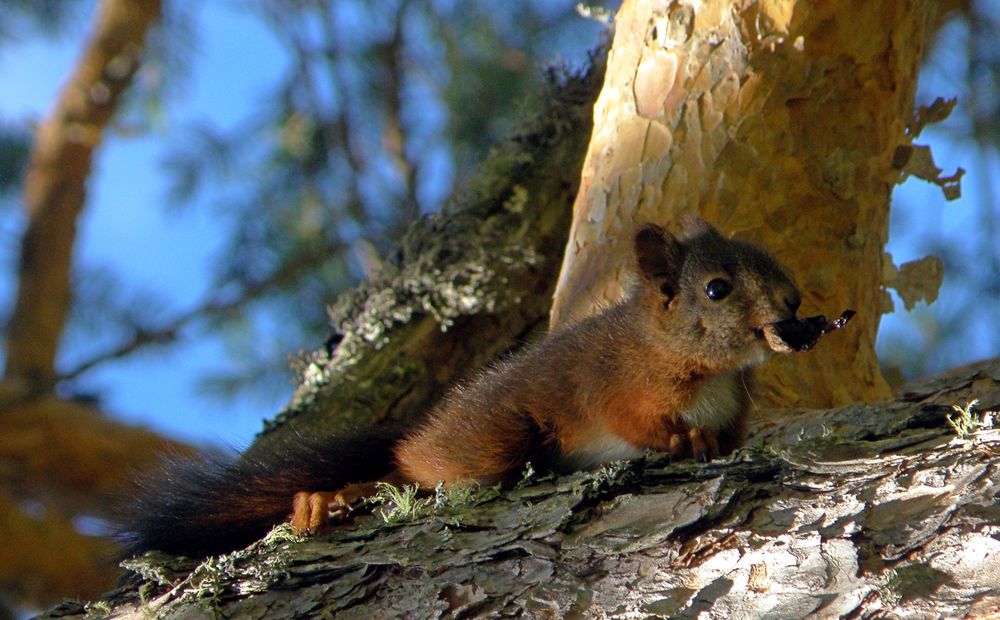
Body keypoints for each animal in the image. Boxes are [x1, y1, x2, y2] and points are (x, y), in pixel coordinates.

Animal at [119, 217, 818, 558]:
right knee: (416, 472)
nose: (794, 303)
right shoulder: (615, 386)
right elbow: (640, 422)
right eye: (717, 289)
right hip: (498, 439)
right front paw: (688, 440)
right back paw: (335, 495)